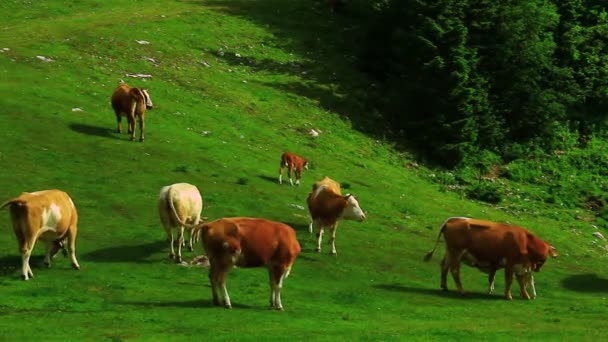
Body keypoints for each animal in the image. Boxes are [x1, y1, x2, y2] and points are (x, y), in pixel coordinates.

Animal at [426, 216, 560, 300]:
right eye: (542, 258)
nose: (537, 269)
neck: (525, 242)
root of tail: (452, 220)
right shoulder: (510, 263)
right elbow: (509, 280)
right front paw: (508, 296)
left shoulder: (520, 265)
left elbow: (521, 282)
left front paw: (526, 296)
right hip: (456, 252)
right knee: (454, 271)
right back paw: (462, 291)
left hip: (450, 252)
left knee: (444, 266)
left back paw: (444, 286)